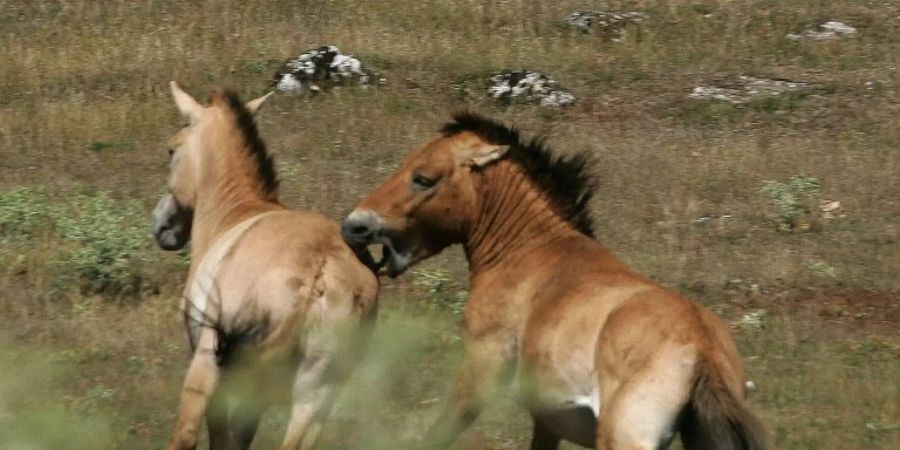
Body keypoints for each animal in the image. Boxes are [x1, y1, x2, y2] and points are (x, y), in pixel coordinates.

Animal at [153, 81, 378, 450]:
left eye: (172, 150)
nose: (162, 225)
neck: (238, 212)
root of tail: (317, 272)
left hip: (212, 365)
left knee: (185, 435)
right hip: (316, 394)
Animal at [340, 110, 768, 448]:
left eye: (423, 178)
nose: (355, 225)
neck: (532, 251)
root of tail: (702, 349)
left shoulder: (479, 374)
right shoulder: (547, 420)